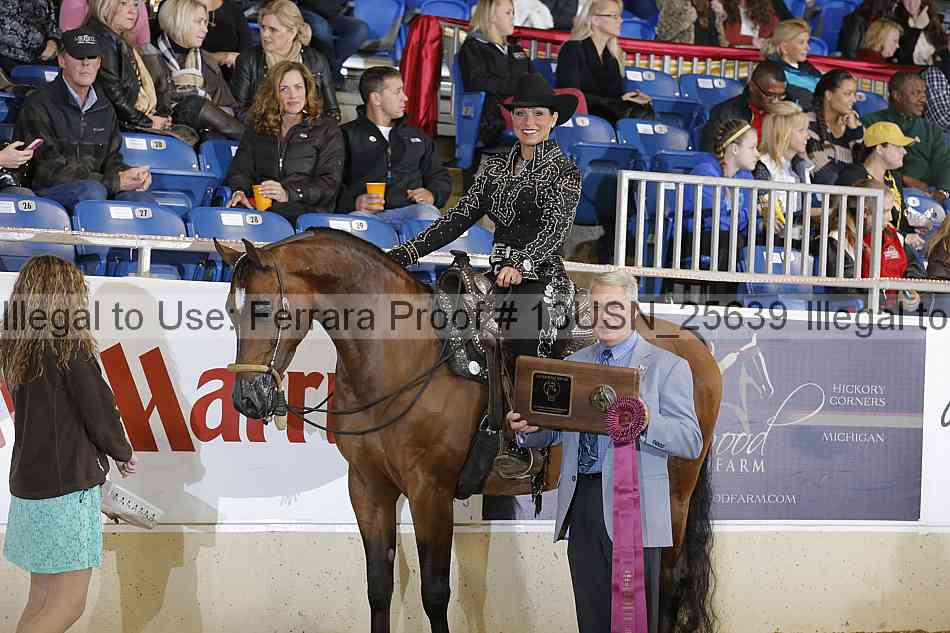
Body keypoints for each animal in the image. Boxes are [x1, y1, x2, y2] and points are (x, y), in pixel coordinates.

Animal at [213, 229, 722, 633]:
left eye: (264, 308)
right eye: (231, 311)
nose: (248, 399)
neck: (403, 356)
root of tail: (692, 342)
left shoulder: (430, 491)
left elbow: (435, 593)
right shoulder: (369, 488)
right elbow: (378, 586)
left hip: (673, 495)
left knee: (667, 580)